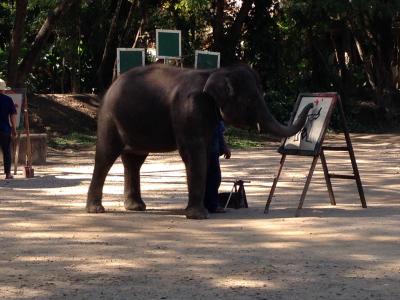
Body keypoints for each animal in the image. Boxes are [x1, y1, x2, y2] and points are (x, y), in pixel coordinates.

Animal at [86, 63, 312, 218]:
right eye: (251, 100)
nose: (310, 106)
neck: (214, 72)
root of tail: (110, 86)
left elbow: (208, 153)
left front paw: (210, 210)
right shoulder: (189, 110)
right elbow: (193, 152)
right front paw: (198, 215)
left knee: (134, 160)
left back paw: (137, 207)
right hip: (109, 119)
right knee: (106, 156)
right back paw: (97, 209)